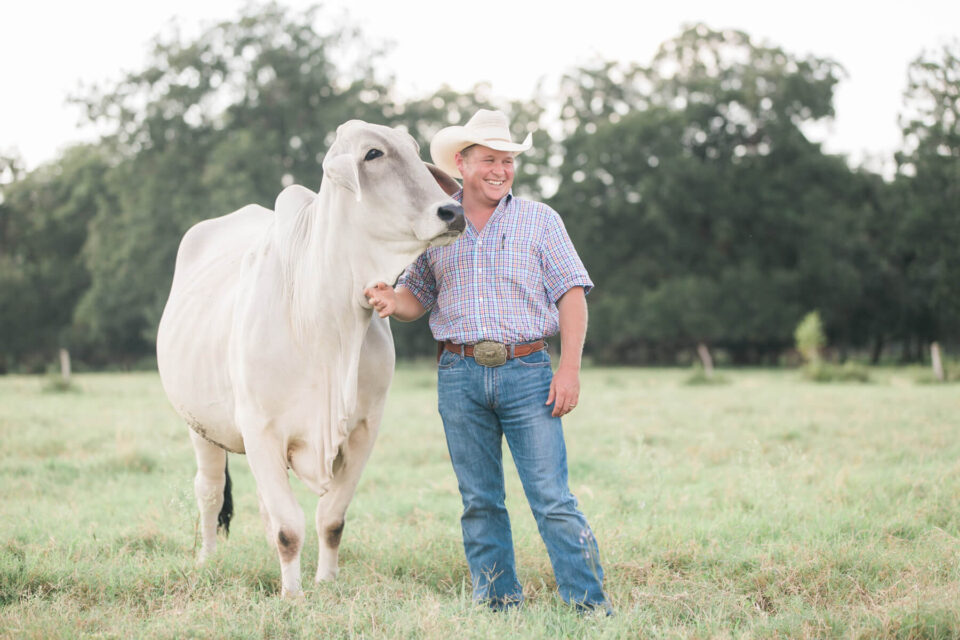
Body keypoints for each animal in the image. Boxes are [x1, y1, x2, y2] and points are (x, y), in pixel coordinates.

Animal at [156, 120, 464, 598]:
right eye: (372, 154)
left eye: (416, 152)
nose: (453, 212)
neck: (324, 322)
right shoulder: (261, 430)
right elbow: (288, 528)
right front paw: (292, 595)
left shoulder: (363, 430)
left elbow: (330, 520)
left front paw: (325, 581)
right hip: (199, 427)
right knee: (209, 491)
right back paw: (206, 560)